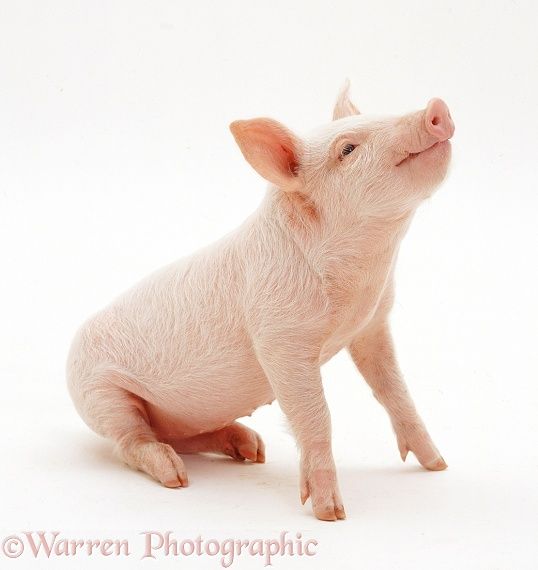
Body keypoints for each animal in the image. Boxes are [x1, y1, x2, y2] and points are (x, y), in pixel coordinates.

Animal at [66, 82, 452, 520]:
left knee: (184, 435)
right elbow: (316, 415)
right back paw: (177, 477)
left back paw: (251, 449)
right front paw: (331, 513)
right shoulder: (278, 338)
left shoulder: (372, 323)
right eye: (348, 149)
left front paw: (438, 465)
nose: (436, 108)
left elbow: (395, 391)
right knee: (131, 441)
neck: (362, 277)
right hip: (101, 395)